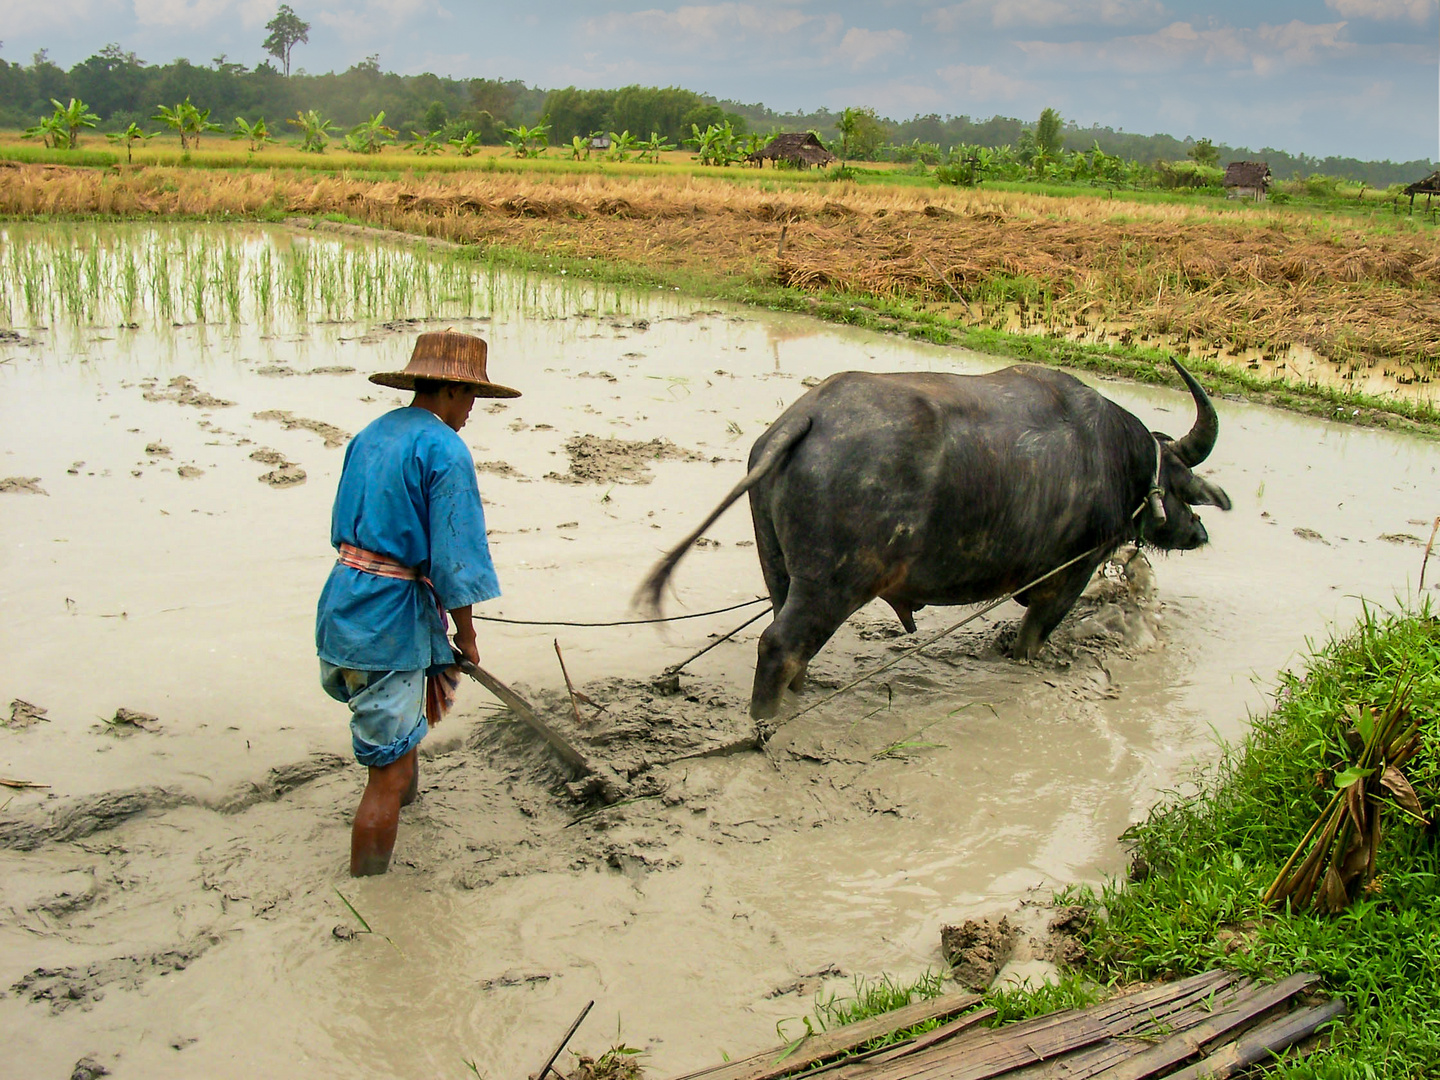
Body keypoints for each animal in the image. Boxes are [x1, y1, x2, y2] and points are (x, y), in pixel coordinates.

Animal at [639, 360, 1226, 722]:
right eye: (1181, 487)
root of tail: (806, 417)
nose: (1198, 532)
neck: (1116, 459)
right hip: (834, 585)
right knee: (780, 648)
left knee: (789, 643)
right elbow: (1033, 638)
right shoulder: (1067, 575)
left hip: (779, 567)